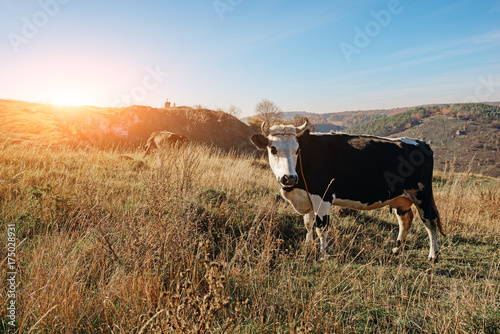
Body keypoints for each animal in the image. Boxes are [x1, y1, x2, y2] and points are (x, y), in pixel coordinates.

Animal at [250, 119, 446, 260]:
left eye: (297, 150)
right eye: (273, 149)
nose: (289, 178)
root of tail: (422, 143)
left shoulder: (323, 196)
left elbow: (322, 227)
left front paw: (323, 255)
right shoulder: (308, 196)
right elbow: (308, 223)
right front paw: (307, 245)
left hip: (422, 194)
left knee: (429, 222)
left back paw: (433, 255)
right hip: (401, 198)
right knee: (405, 220)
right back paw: (396, 250)